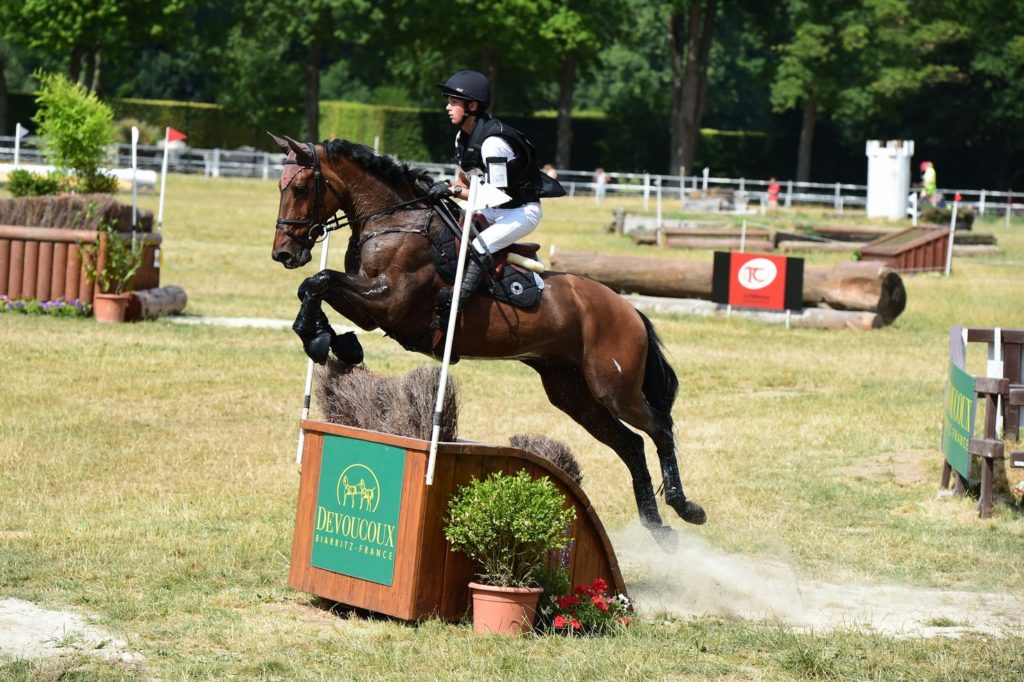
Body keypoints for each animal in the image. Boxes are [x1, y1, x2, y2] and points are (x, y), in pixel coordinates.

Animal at [268, 133, 708, 548]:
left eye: (301, 188)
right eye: (280, 186)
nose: (283, 254)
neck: (396, 221)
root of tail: (630, 312)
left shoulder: (389, 303)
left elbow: (319, 282)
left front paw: (322, 339)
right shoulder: (371, 307)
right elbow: (315, 288)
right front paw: (331, 340)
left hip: (614, 388)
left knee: (660, 429)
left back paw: (686, 507)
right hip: (572, 392)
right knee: (630, 444)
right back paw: (657, 528)